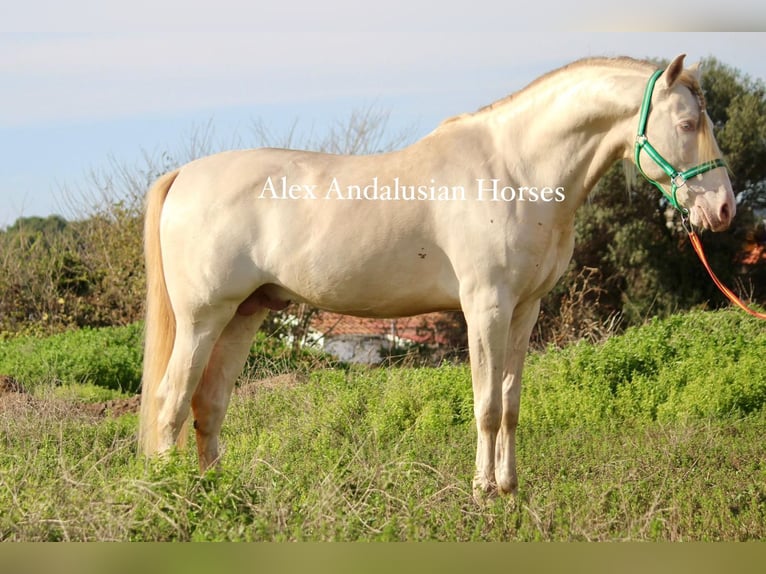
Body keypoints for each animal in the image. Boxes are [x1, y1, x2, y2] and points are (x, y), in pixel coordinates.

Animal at [138, 55, 736, 500]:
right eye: (687, 124)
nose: (725, 209)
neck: (515, 172)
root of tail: (184, 175)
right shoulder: (486, 307)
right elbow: (487, 405)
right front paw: (482, 492)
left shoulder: (524, 311)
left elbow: (511, 404)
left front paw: (509, 489)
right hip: (203, 318)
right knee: (171, 401)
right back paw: (173, 496)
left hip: (246, 313)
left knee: (208, 404)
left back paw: (218, 491)